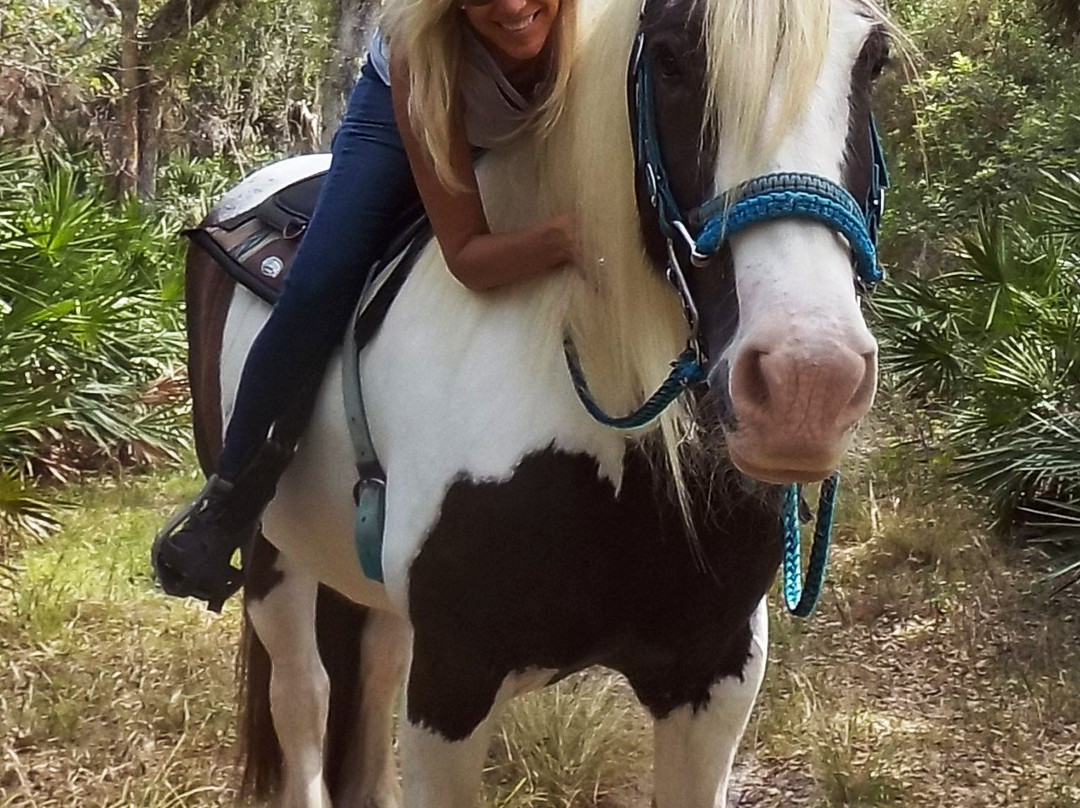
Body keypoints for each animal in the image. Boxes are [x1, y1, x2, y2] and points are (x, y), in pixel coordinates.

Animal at [179, 0, 893, 805]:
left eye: (873, 61)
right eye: (671, 59)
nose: (809, 384)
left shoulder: (716, 673)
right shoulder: (452, 685)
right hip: (272, 553)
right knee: (302, 698)